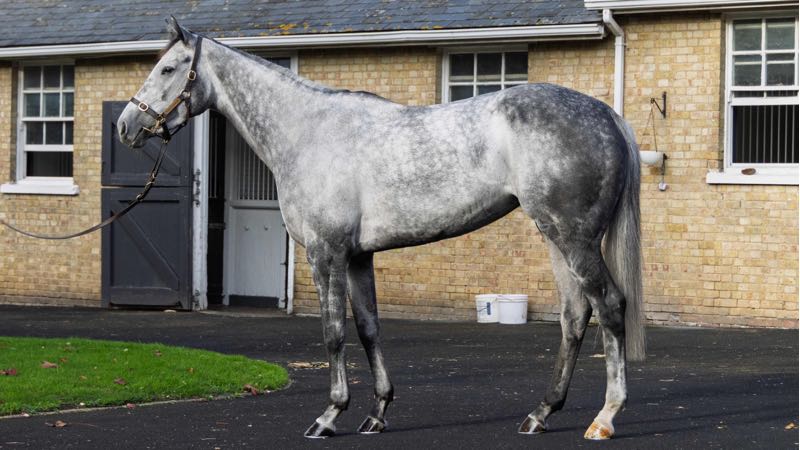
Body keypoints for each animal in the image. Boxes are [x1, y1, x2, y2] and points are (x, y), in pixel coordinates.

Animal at [118, 17, 645, 441]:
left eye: (168, 69)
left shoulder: (325, 253)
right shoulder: (357, 257)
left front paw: (330, 416)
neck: (307, 132)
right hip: (556, 237)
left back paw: (604, 418)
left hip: (574, 239)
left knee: (610, 306)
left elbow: (333, 332)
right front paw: (377, 414)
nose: (126, 127)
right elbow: (369, 328)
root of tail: (608, 116)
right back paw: (541, 413)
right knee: (575, 316)